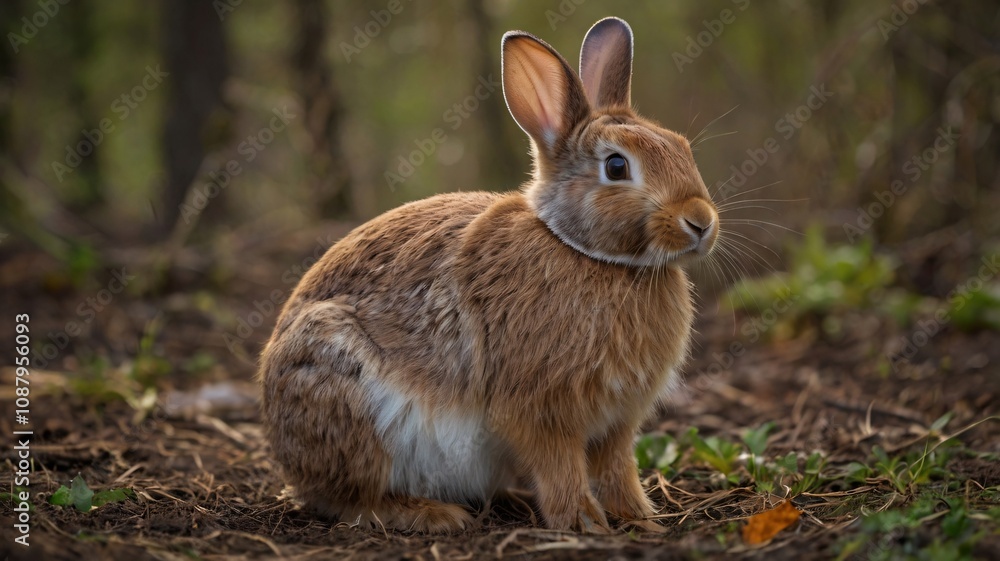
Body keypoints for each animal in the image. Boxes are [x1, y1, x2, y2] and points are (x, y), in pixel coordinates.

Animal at [258, 16, 719, 534]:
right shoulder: (540, 408)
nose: (701, 222)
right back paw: (435, 513)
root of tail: (286, 458)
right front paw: (583, 522)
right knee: (353, 499)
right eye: (617, 166)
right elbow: (560, 465)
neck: (587, 252)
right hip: (348, 396)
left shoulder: (618, 421)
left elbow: (618, 468)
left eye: (681, 146)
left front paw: (641, 518)